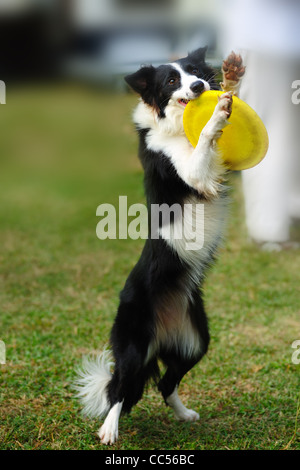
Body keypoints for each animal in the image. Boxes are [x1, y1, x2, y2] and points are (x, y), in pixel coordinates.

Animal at [74, 46, 244, 444]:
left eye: (195, 71)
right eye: (170, 81)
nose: (199, 87)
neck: (176, 124)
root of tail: (161, 335)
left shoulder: (223, 168)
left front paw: (233, 79)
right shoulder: (191, 171)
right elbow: (204, 143)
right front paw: (218, 111)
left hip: (196, 341)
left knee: (165, 385)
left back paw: (184, 415)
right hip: (134, 345)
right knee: (120, 390)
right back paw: (109, 430)